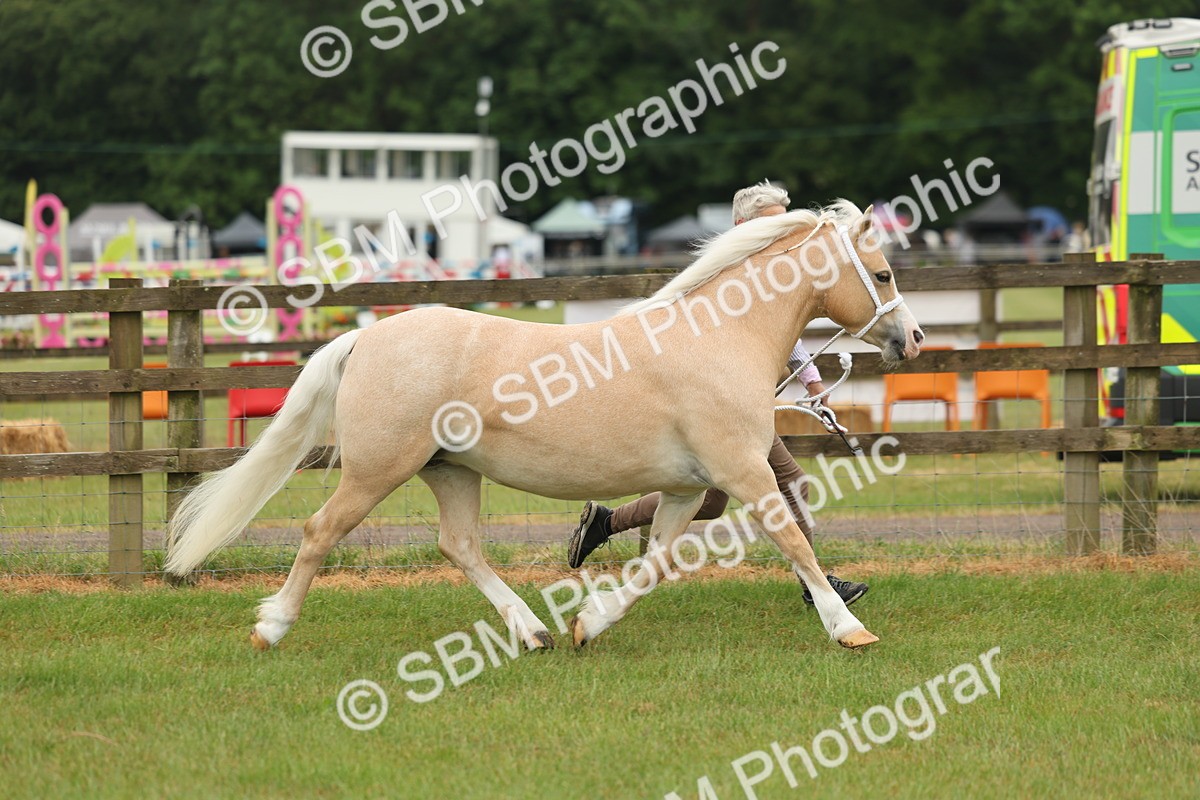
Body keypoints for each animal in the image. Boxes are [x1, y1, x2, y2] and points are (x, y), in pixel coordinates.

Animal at [164, 200, 923, 652]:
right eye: (884, 274)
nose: (911, 339)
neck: (719, 337)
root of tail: (366, 338)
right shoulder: (743, 470)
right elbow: (792, 538)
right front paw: (849, 627)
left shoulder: (687, 489)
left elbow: (655, 565)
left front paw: (590, 622)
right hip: (378, 471)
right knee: (320, 532)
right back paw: (272, 627)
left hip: (451, 472)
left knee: (460, 546)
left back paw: (533, 631)